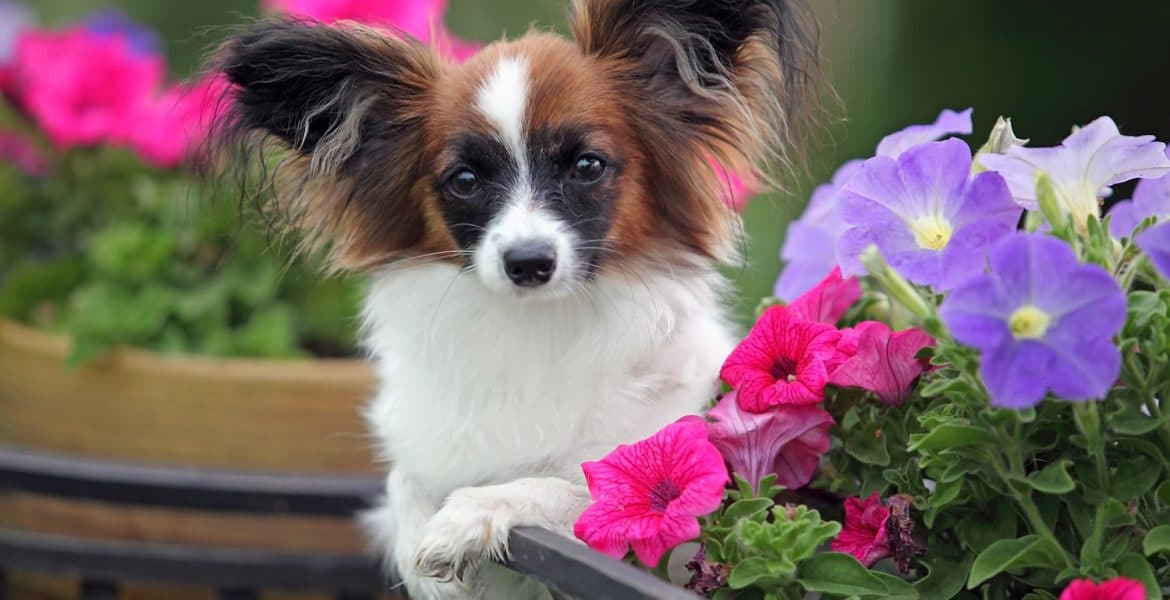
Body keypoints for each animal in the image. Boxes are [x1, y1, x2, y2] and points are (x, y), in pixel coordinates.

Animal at [210, 1, 814, 594]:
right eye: (464, 180)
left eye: (588, 166)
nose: (527, 262)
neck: (536, 327)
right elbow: (404, 478)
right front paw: (413, 544)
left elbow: (567, 487)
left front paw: (469, 515)